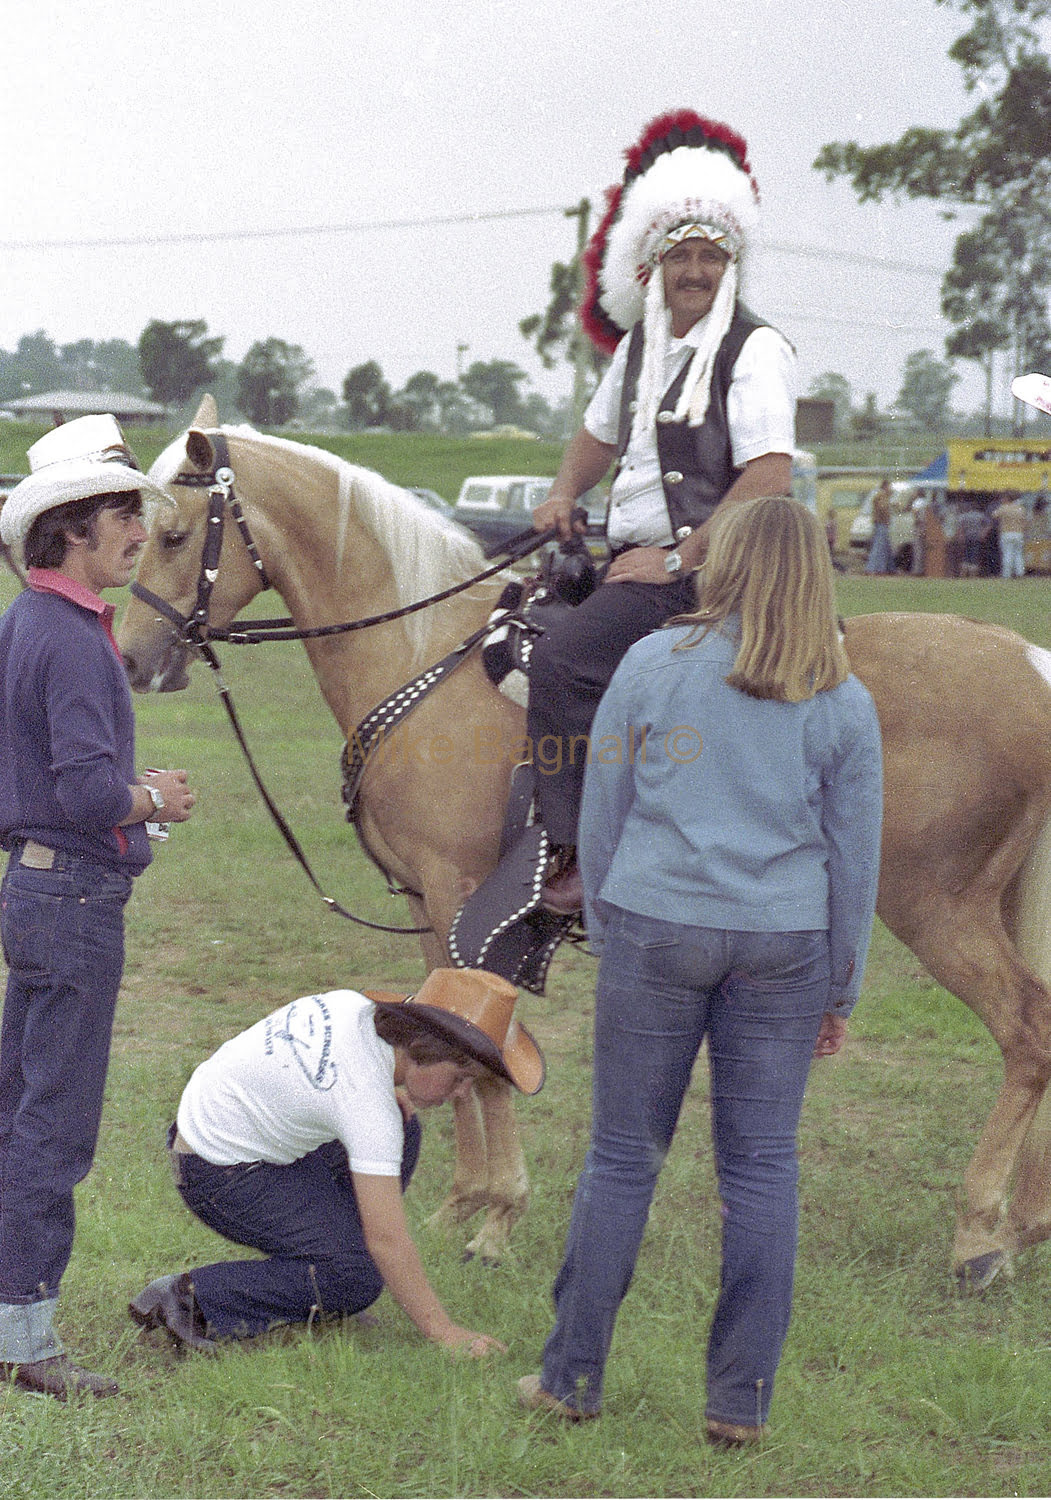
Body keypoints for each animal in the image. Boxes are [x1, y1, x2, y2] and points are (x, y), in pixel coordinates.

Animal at [116, 402, 1051, 1290]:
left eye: (173, 535)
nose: (131, 659)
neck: (425, 660)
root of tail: (1025, 664)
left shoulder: (463, 894)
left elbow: (478, 1048)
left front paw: (496, 1219)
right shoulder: (426, 900)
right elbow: (438, 1032)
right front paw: (463, 1205)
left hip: (933, 906)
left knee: (1026, 1031)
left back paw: (979, 1235)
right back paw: (1024, 1223)